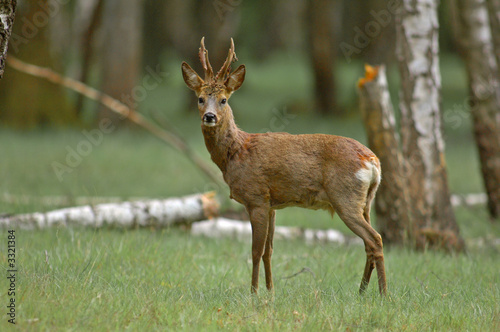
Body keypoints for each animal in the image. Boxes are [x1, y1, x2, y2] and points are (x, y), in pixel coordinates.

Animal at [180, 37, 386, 294]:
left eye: (223, 100)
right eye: (200, 98)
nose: (209, 116)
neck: (236, 152)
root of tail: (373, 161)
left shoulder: (256, 197)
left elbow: (255, 251)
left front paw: (254, 293)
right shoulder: (272, 204)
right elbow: (269, 251)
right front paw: (270, 291)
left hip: (345, 197)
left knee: (375, 239)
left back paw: (383, 294)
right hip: (365, 201)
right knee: (369, 243)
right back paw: (361, 292)